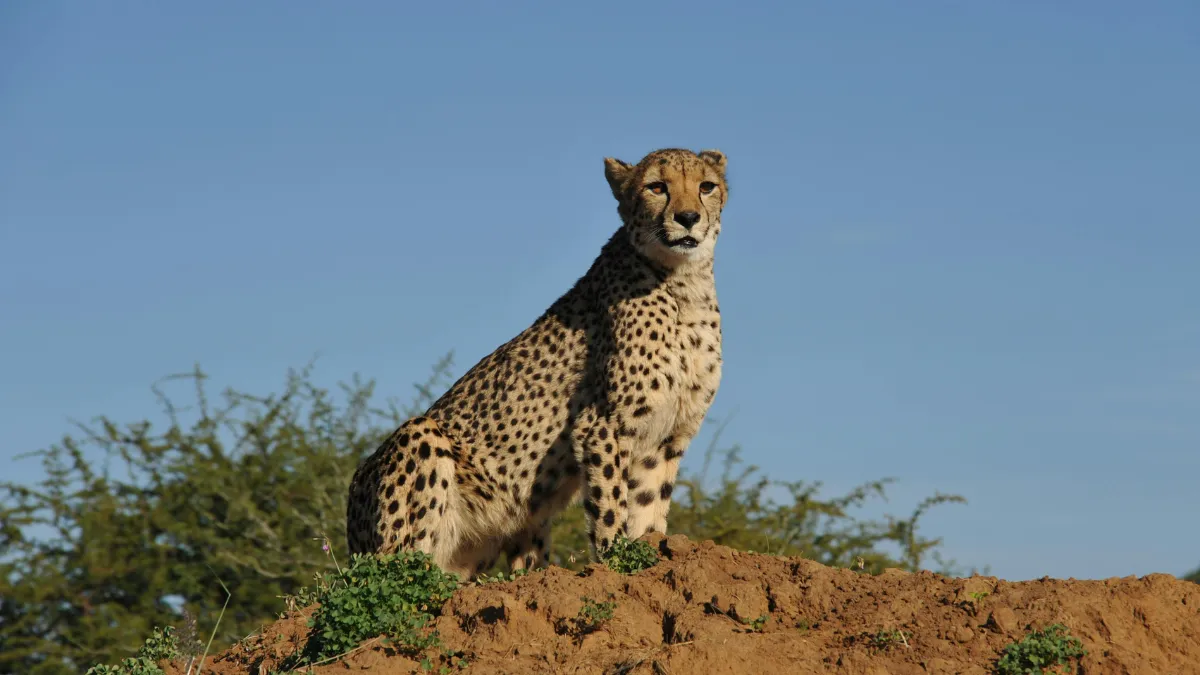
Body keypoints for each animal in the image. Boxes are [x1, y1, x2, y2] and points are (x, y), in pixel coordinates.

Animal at [345, 147, 728, 580]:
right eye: (657, 187)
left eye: (706, 186)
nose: (688, 217)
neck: (684, 283)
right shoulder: (602, 427)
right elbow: (610, 509)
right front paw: (616, 563)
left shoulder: (666, 439)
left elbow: (649, 509)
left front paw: (652, 553)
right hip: (420, 442)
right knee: (406, 569)